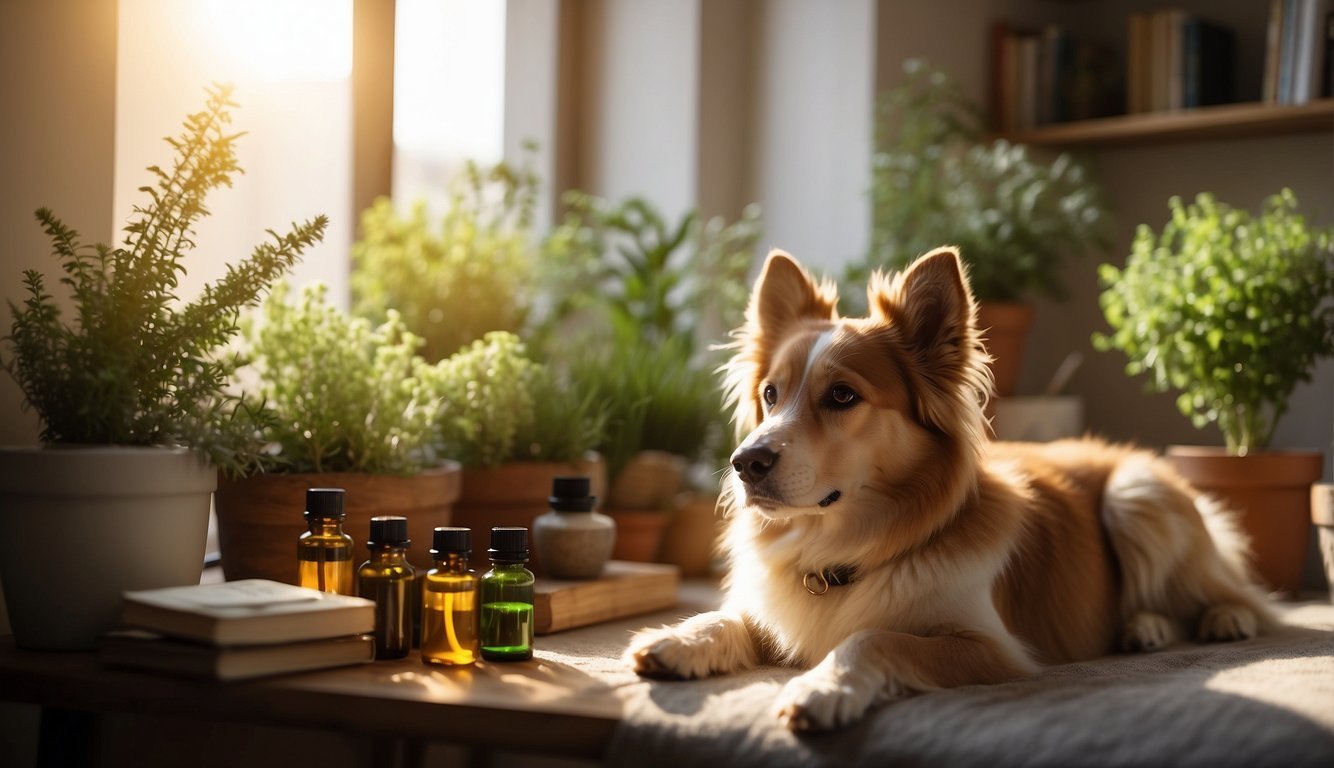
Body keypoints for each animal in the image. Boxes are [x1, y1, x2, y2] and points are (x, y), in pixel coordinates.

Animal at [621, 248, 1269, 730]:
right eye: (771, 395)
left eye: (842, 396)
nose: (744, 462)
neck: (847, 550)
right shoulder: (779, 610)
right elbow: (732, 616)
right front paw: (680, 638)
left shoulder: (992, 649)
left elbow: (874, 637)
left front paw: (824, 687)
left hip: (1136, 495)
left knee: (1232, 593)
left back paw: (1203, 620)